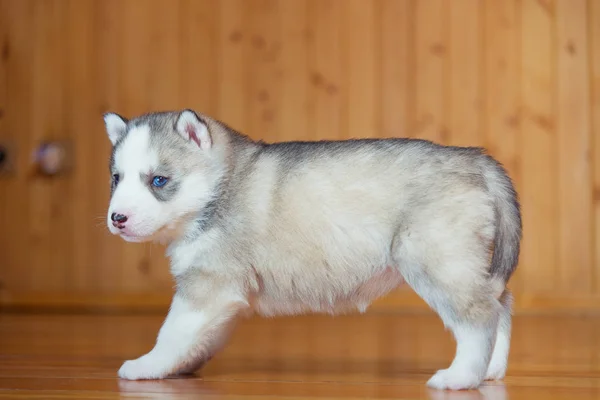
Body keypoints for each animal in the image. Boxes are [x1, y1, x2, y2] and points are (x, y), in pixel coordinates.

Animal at [103, 108, 520, 390]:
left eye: (159, 180)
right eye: (116, 178)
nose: (117, 218)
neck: (220, 187)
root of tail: (474, 157)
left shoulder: (207, 285)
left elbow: (172, 331)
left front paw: (148, 364)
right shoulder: (225, 293)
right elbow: (198, 335)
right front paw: (182, 365)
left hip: (437, 262)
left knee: (480, 316)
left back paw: (462, 376)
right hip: (470, 267)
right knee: (500, 304)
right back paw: (491, 370)